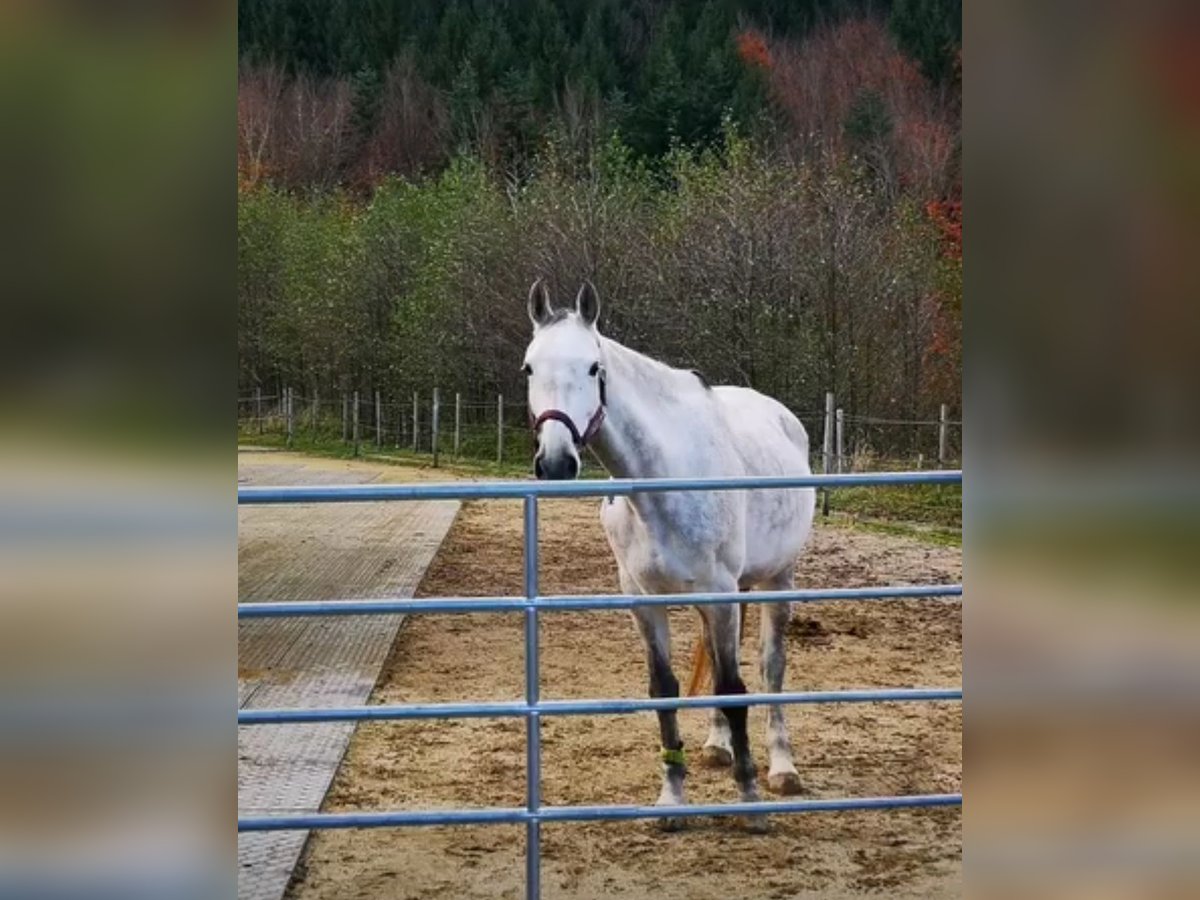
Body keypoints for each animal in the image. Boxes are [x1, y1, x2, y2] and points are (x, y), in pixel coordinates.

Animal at [523, 278, 816, 830]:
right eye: (529, 367)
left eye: (593, 368)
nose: (555, 463)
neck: (663, 477)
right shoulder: (643, 599)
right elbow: (665, 689)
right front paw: (672, 798)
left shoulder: (720, 592)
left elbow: (736, 688)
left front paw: (749, 799)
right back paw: (718, 746)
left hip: (776, 579)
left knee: (770, 666)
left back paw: (782, 768)